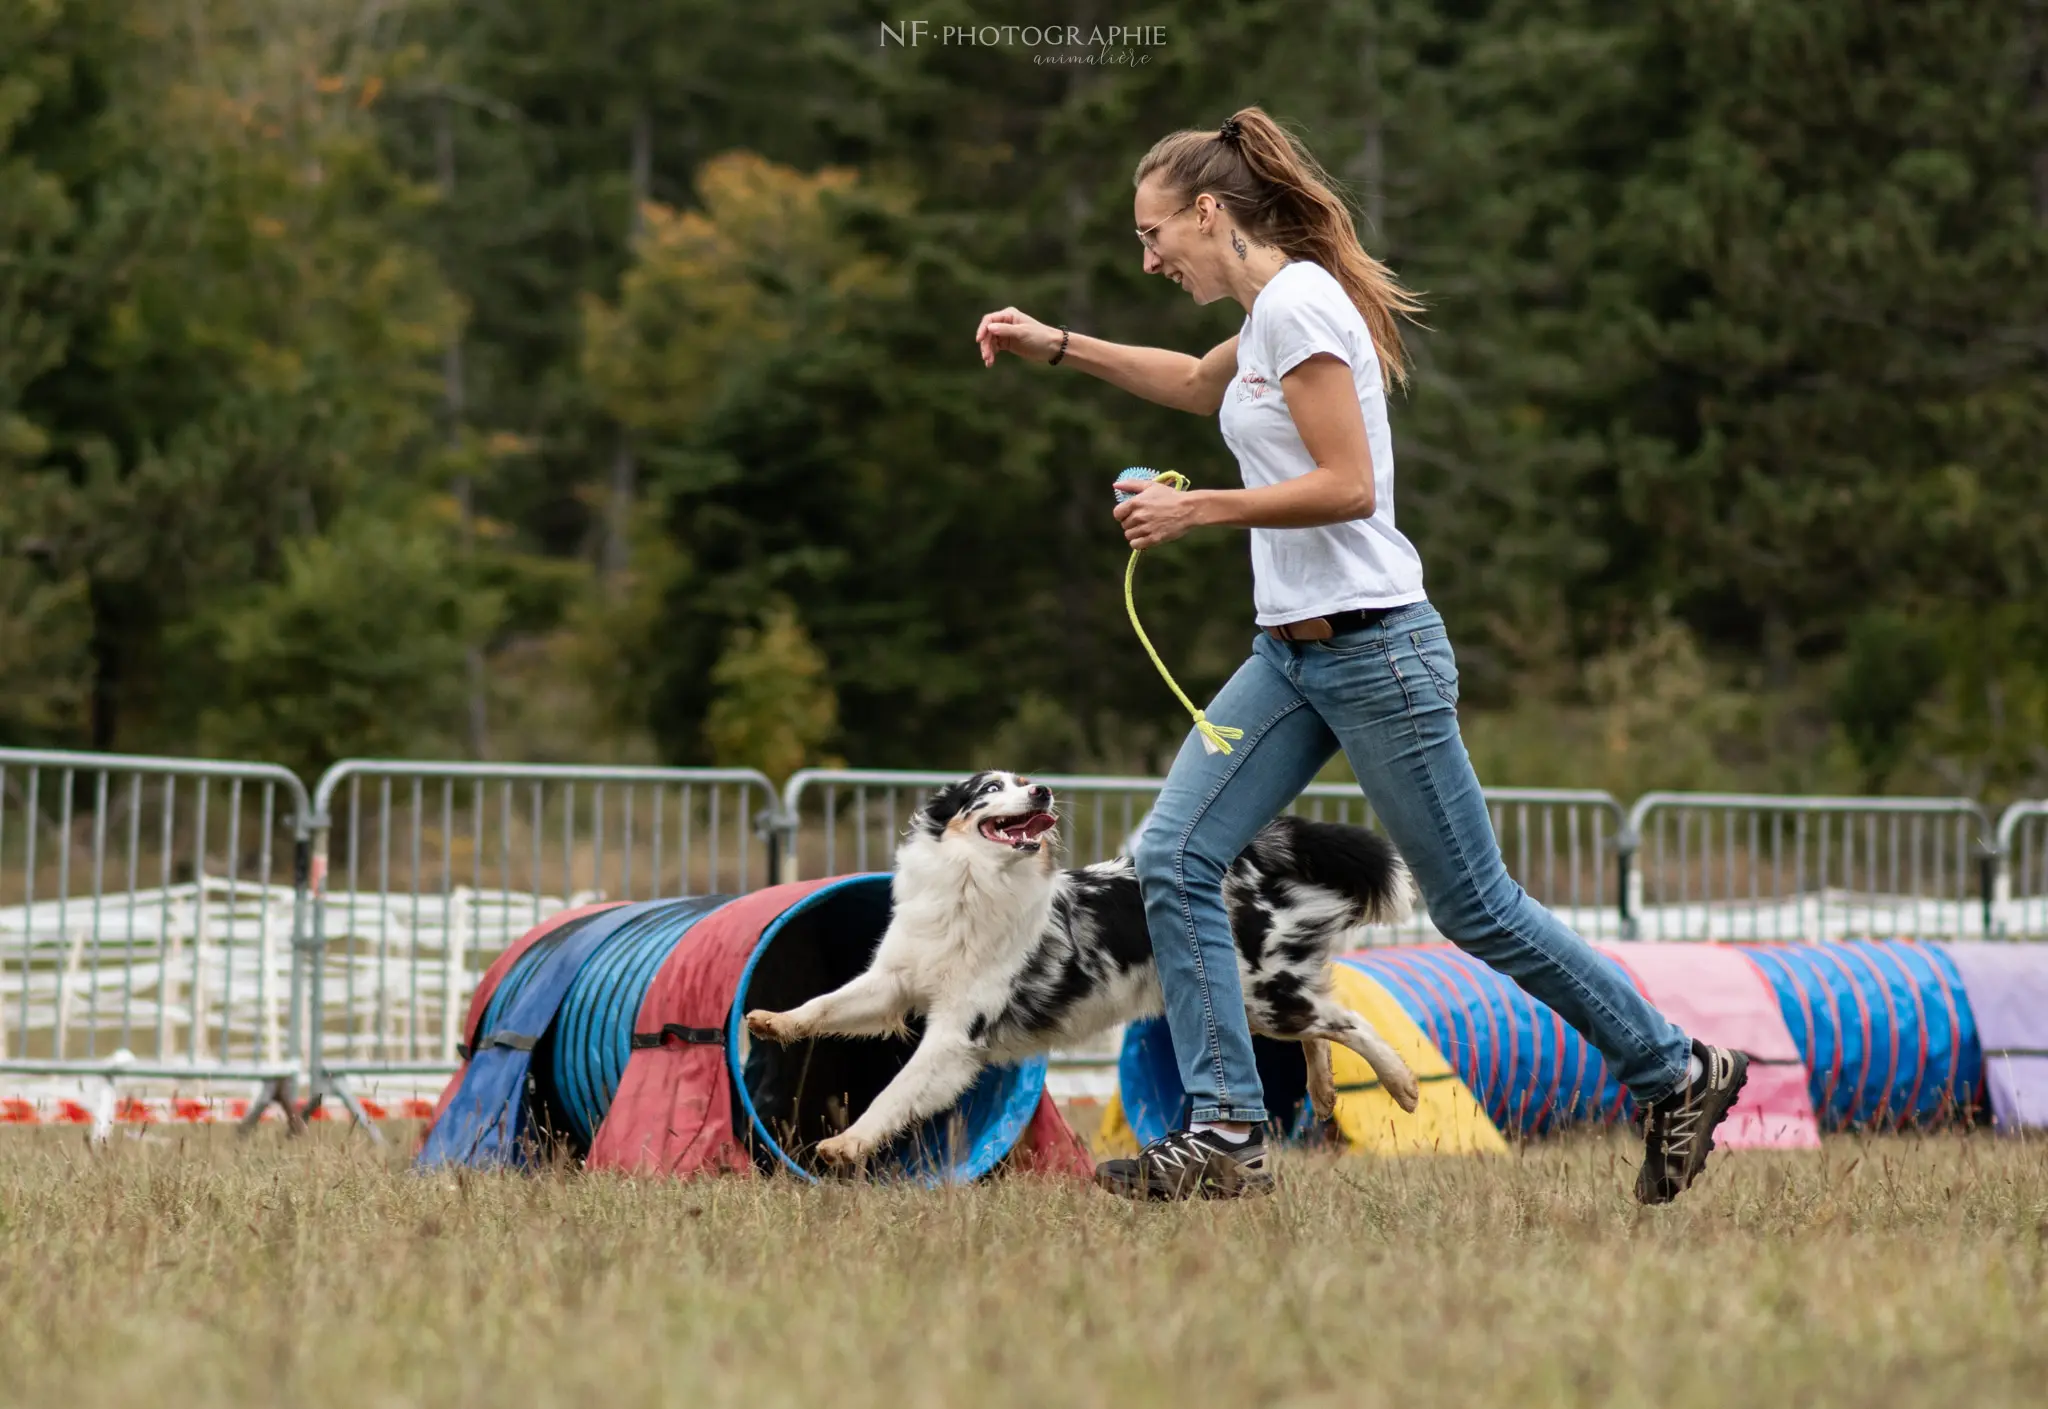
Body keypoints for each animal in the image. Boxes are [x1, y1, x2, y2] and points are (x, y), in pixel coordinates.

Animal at [741, 770, 1425, 1163]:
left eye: (1024, 780)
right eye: (989, 789)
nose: (1042, 790)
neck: (972, 884)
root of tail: (1247, 860)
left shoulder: (956, 1035)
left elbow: (895, 1092)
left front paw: (845, 1143)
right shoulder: (896, 982)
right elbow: (829, 1005)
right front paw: (772, 1020)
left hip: (1264, 995)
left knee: (1346, 1019)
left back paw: (1401, 1084)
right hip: (1254, 1002)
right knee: (1320, 1025)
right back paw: (1324, 1091)